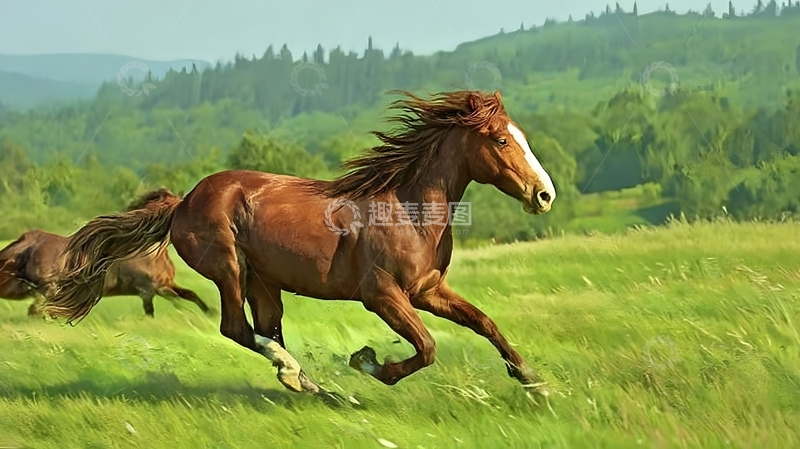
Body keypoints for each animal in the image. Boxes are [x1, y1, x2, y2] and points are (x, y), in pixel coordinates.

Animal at [0, 189, 214, 318]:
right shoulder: (151, 290)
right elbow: (165, 305)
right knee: (36, 310)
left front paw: (210, 312)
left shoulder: (165, 284)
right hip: (48, 288)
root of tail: (30, 241)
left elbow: (190, 294)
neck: (151, 255)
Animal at [41, 90, 556, 397]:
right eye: (500, 141)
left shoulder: (428, 290)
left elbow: (484, 323)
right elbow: (427, 347)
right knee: (237, 329)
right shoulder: (382, 295)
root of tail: (183, 200)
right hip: (230, 269)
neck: (408, 210)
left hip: (264, 282)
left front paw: (533, 380)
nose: (544, 194)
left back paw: (313, 386)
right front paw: (368, 363)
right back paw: (300, 378)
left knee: (265, 330)